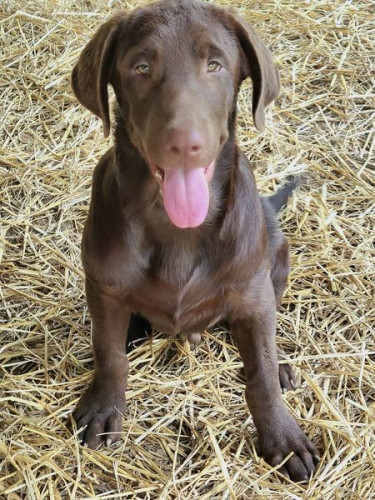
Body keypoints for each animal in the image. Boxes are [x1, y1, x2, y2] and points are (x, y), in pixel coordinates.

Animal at [72, 0, 318, 484]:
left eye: (215, 65)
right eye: (141, 67)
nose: (184, 144)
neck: (176, 230)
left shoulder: (253, 296)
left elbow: (260, 373)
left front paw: (282, 437)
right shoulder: (104, 287)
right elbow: (108, 353)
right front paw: (104, 406)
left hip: (277, 253)